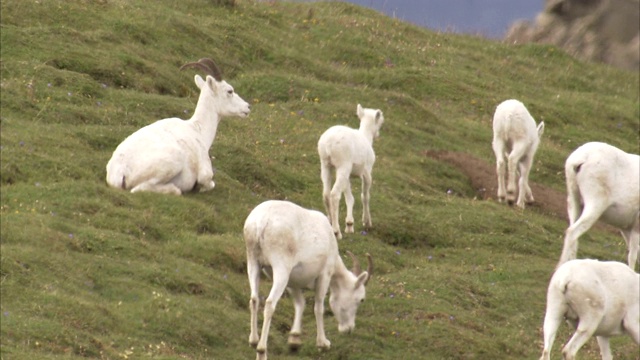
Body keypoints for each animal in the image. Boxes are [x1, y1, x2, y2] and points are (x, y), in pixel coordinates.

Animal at [105, 58, 250, 195]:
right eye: (230, 91)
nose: (247, 107)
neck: (198, 130)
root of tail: (120, 172)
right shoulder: (205, 173)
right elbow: (209, 183)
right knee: (138, 189)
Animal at [242, 200, 372, 360]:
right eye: (361, 299)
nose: (348, 329)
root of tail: (260, 223)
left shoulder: (292, 283)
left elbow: (300, 303)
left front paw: (294, 340)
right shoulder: (324, 275)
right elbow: (318, 307)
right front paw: (323, 343)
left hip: (253, 262)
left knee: (254, 299)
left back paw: (253, 341)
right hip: (281, 268)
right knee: (270, 303)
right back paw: (261, 350)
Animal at [316, 103, 382, 239]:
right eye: (380, 122)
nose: (378, 134)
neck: (366, 137)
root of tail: (328, 144)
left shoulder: (348, 175)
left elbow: (349, 197)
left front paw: (350, 225)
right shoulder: (367, 173)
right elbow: (365, 196)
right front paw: (367, 222)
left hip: (326, 165)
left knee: (326, 194)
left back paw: (330, 223)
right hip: (343, 165)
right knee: (334, 194)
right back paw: (336, 232)